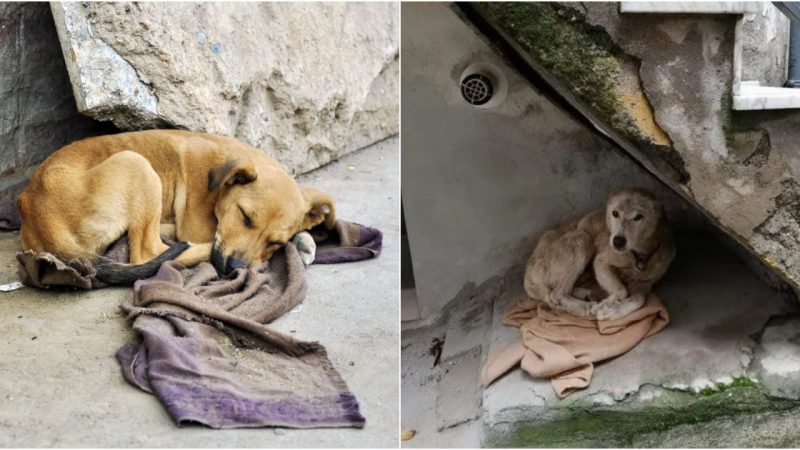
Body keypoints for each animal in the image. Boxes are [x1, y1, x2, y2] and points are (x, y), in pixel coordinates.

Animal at [16, 130, 334, 284]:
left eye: (275, 242)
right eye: (244, 216)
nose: (234, 268)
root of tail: (36, 209)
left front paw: (303, 240)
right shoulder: (199, 226)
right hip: (137, 164)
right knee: (148, 252)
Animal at [524, 186, 676, 320]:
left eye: (639, 217)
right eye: (615, 213)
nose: (618, 241)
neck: (637, 255)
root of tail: (527, 276)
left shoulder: (646, 283)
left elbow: (639, 299)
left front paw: (615, 310)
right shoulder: (601, 262)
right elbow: (622, 290)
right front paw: (607, 305)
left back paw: (586, 294)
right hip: (582, 239)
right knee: (557, 294)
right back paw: (585, 307)